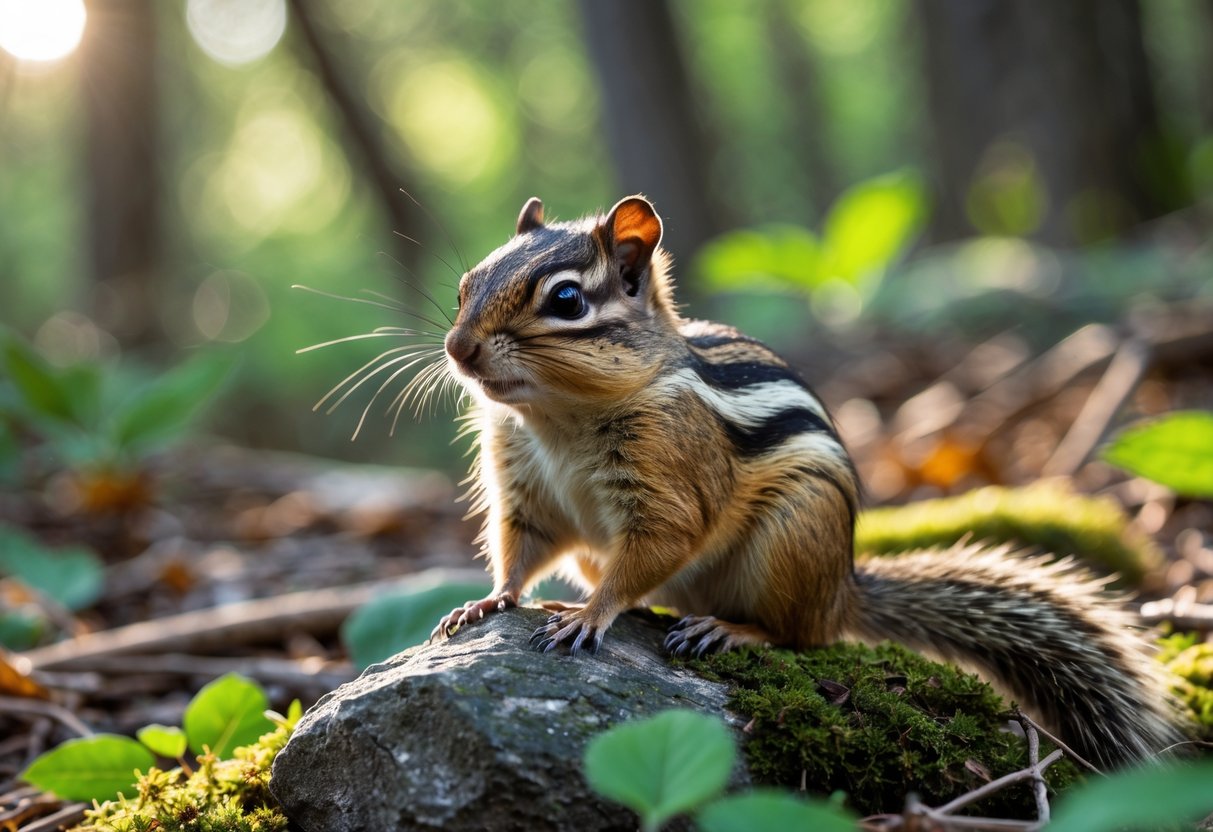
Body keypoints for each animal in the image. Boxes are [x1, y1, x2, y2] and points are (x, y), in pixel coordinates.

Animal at [427, 194, 1186, 768]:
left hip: (794, 534)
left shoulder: (671, 478)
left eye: (565, 299)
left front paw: (590, 615)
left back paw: (726, 629)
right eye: (466, 286)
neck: (559, 417)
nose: (458, 348)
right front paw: (488, 602)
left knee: (799, 636)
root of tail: (841, 587)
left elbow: (658, 544)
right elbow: (520, 549)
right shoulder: (523, 489)